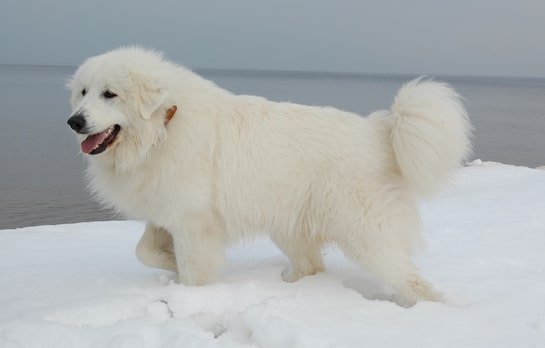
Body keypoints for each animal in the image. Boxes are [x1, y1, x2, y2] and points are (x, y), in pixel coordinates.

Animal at [67, 46, 468, 304]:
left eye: (110, 94)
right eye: (83, 92)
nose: (74, 121)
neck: (165, 125)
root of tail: (379, 131)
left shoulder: (193, 222)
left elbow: (193, 268)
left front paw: (190, 294)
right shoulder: (168, 211)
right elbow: (145, 251)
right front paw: (170, 266)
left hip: (365, 234)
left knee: (411, 280)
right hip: (289, 227)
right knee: (312, 265)